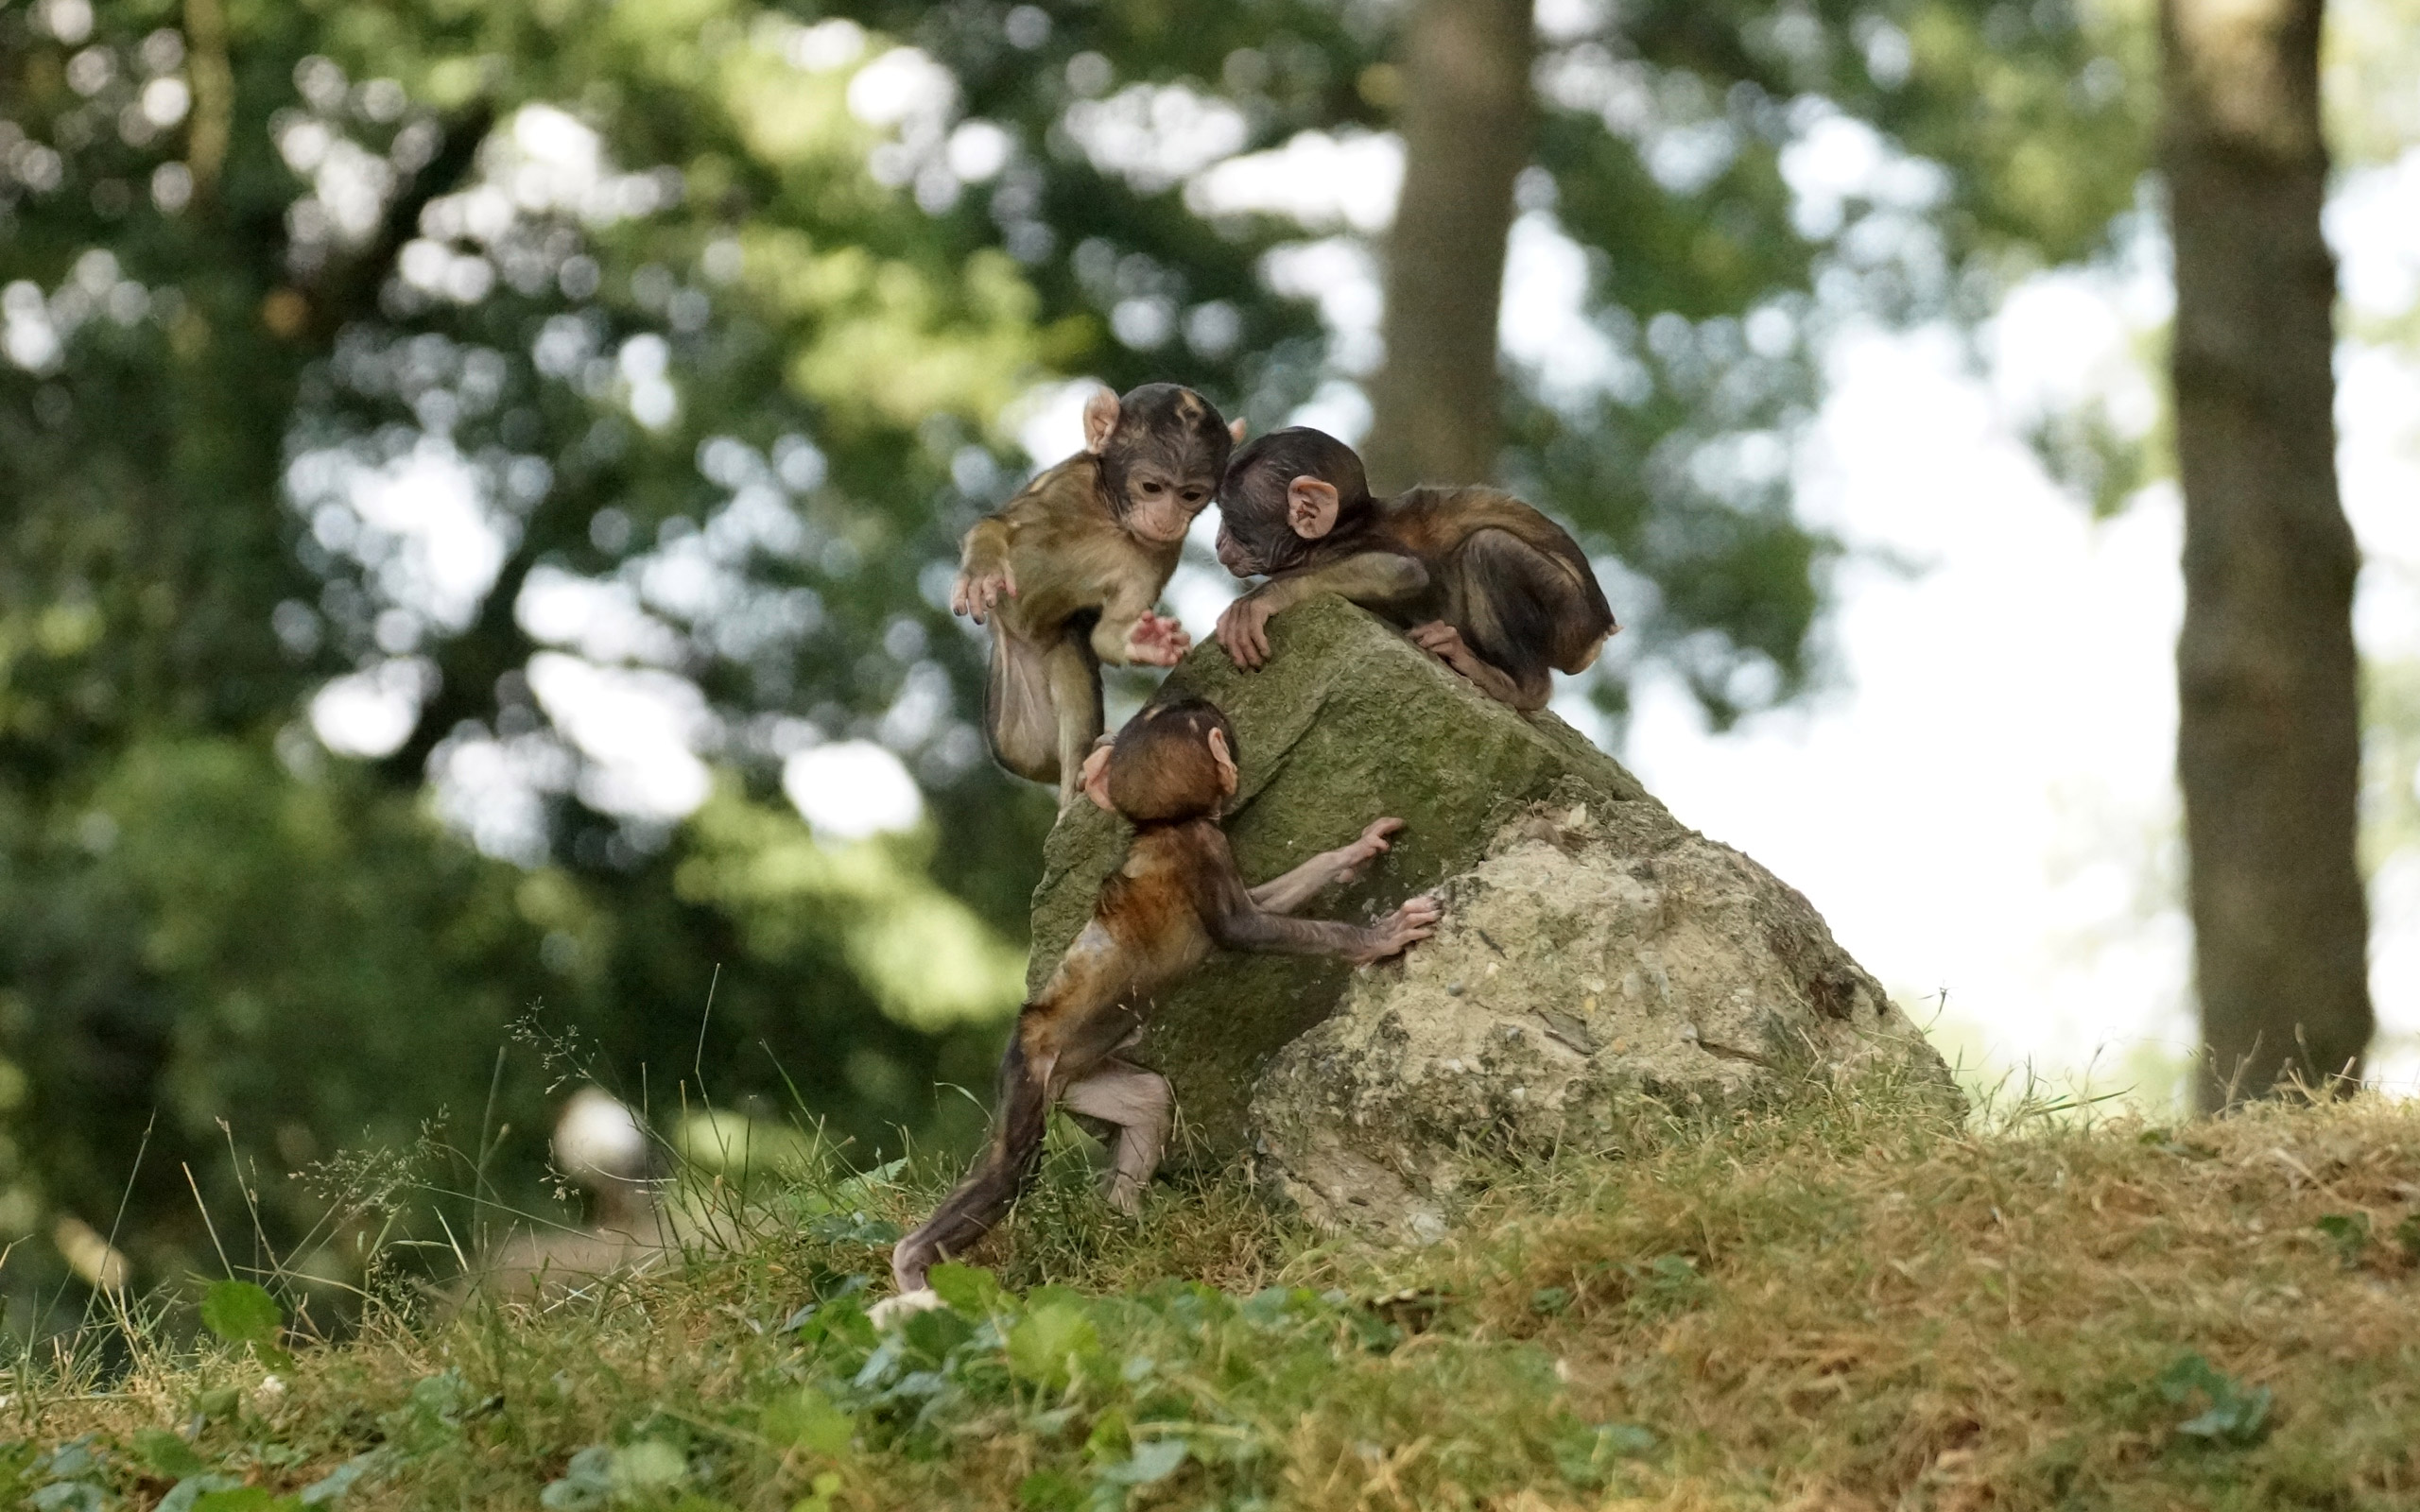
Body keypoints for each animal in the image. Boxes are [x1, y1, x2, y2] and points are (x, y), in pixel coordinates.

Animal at [890, 696, 1432, 1297]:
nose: (1235, 758)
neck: (1162, 825)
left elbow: (1264, 902)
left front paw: (1355, 850)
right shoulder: (1201, 844)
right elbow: (1244, 929)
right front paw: (1379, 938)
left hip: (1078, 1081)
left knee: (1149, 1099)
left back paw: (1122, 1224)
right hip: (1031, 1072)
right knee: (1011, 1168)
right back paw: (910, 1264)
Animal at [948, 382, 1248, 808]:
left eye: (1190, 495)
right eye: (1152, 487)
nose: (1167, 520)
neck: (1110, 514)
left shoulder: (1159, 553)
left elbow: (1108, 635)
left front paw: (1147, 640)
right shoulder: (1067, 485)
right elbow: (997, 526)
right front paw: (982, 568)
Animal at [1204, 425, 1616, 706]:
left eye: (1230, 519)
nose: (1219, 539)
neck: (1340, 531)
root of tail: (1597, 637)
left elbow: (1402, 572)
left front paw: (1261, 599)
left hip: (1570, 619)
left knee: (1489, 546)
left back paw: (1519, 687)